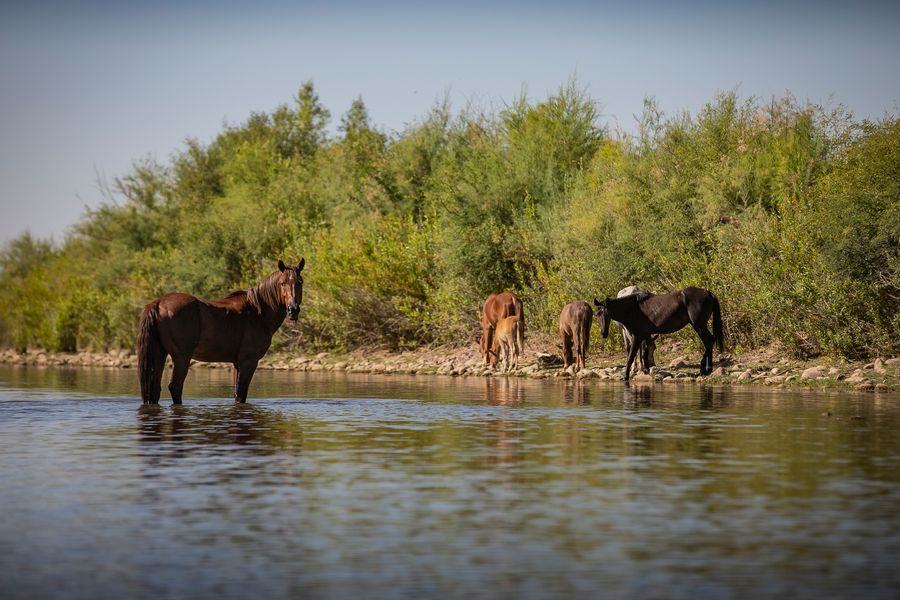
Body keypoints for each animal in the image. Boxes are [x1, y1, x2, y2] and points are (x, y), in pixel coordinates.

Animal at [137, 258, 306, 404]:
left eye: (300, 282)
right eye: (283, 283)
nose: (293, 310)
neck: (257, 312)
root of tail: (158, 303)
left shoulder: (237, 363)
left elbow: (237, 393)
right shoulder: (249, 361)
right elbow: (241, 393)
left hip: (160, 353)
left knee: (154, 389)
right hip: (181, 357)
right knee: (175, 387)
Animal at [592, 286, 724, 380]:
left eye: (607, 314)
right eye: (597, 315)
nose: (603, 333)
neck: (632, 309)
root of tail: (708, 293)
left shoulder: (636, 336)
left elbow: (631, 356)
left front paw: (626, 376)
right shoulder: (645, 335)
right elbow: (645, 352)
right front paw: (645, 370)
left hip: (698, 325)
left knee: (709, 341)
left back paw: (706, 369)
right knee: (710, 341)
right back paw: (705, 369)